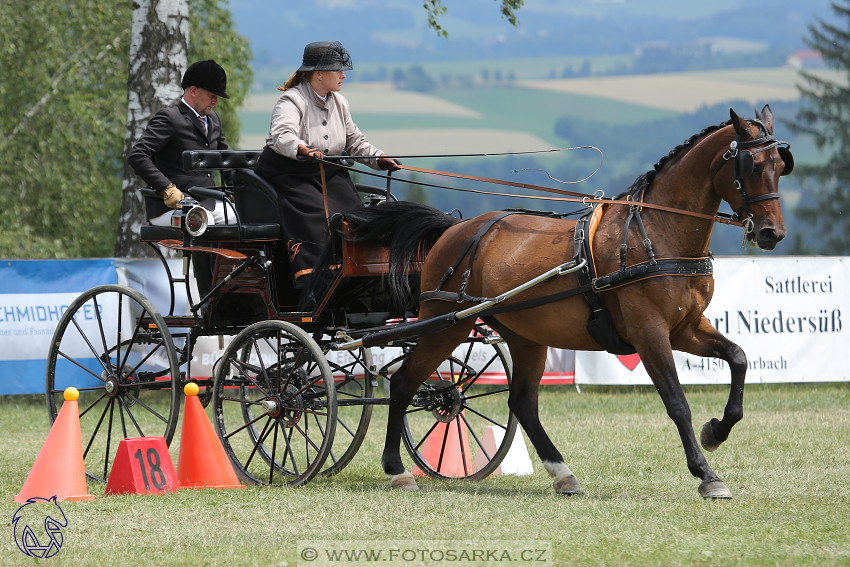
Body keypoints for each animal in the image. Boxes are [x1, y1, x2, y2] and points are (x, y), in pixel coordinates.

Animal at [336, 104, 788, 500]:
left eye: (781, 165)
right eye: (750, 166)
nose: (772, 234)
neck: (657, 233)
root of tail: (453, 228)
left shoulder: (686, 328)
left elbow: (739, 358)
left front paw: (717, 431)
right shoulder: (650, 334)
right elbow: (677, 403)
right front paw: (707, 474)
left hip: (524, 334)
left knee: (521, 402)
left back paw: (563, 475)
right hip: (447, 323)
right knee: (403, 383)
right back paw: (396, 470)